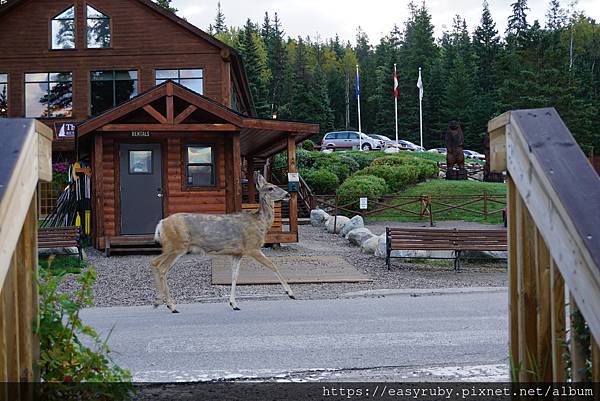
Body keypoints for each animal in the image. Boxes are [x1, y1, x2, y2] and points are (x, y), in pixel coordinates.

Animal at [151, 172, 294, 312]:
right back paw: (171, 306)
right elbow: (272, 265)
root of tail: (161, 224)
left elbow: (234, 275)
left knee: (155, 263)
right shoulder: (252, 247)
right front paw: (290, 293)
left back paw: (158, 302)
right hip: (177, 246)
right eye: (270, 188)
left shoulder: (237, 253)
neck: (260, 223)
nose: (287, 194)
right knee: (162, 268)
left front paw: (233, 303)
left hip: (171, 247)